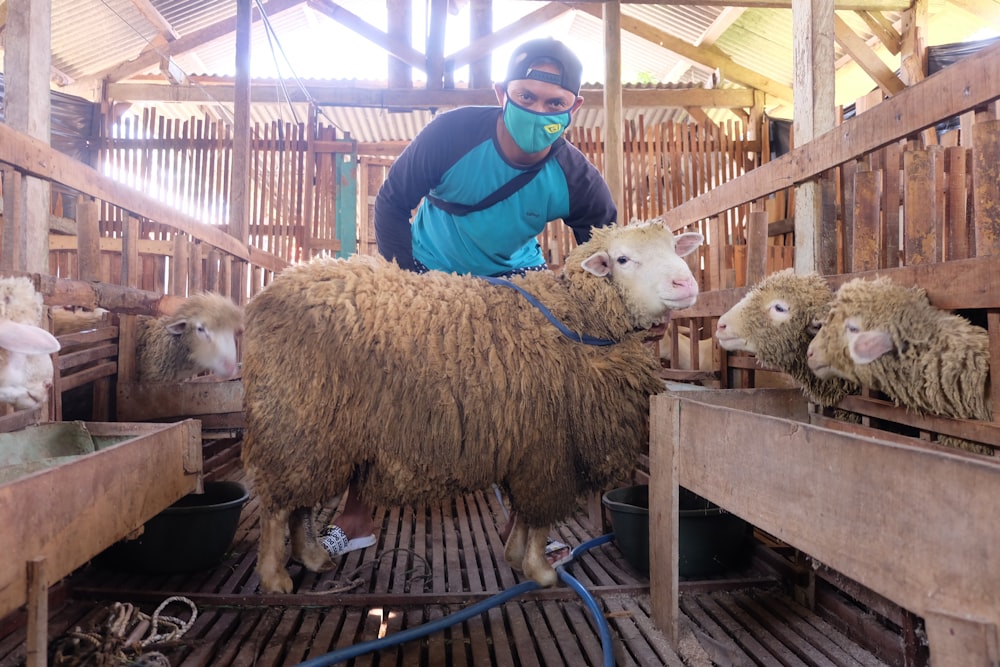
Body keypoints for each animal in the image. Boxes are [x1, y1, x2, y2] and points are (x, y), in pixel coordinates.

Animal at [240, 222, 704, 592]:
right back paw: (275, 576)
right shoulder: (550, 446)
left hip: (312, 432)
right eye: (623, 259)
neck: (577, 321)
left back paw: (312, 557)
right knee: (278, 507)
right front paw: (540, 571)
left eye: (674, 247)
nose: (686, 286)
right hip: (296, 418)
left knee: (299, 501)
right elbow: (539, 515)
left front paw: (516, 556)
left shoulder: (529, 442)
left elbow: (523, 513)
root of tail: (263, 298)